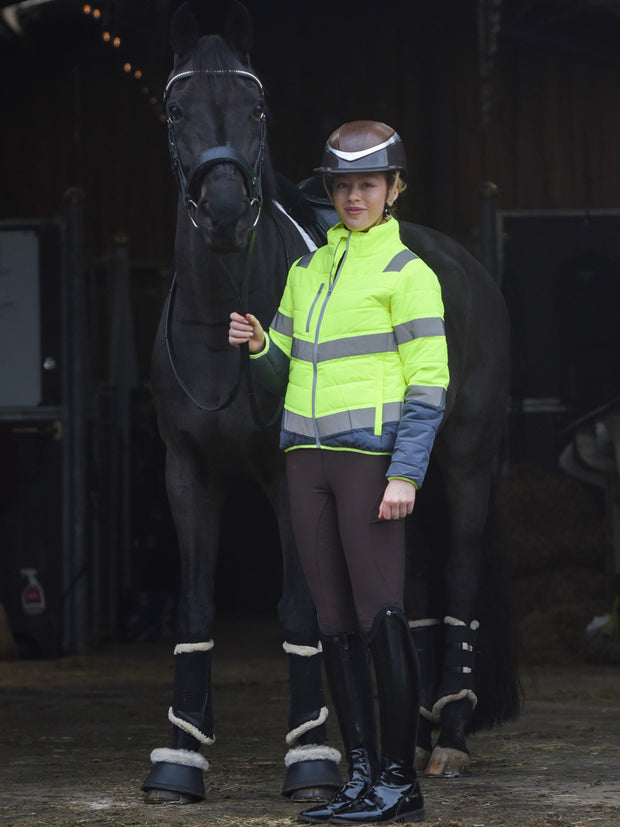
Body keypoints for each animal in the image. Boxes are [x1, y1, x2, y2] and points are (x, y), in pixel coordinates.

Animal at [143, 0, 519, 806]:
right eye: (176, 108)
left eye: (257, 107)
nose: (225, 212)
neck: (222, 324)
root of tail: (467, 266)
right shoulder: (186, 472)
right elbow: (194, 606)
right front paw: (179, 758)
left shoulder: (291, 475)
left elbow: (299, 607)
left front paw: (310, 758)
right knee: (409, 590)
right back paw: (411, 734)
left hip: (466, 465)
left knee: (459, 577)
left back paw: (449, 736)